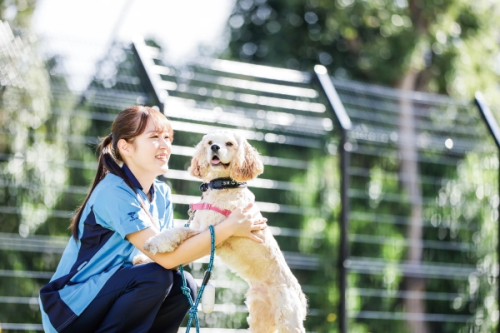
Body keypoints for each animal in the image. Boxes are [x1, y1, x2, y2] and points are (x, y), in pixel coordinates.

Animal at [140, 130, 308, 332]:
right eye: (210, 142)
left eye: (229, 143)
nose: (214, 147)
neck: (223, 186)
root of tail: (300, 296)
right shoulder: (200, 229)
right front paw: (143, 258)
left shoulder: (208, 231)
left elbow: (177, 231)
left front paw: (155, 243)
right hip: (260, 317)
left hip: (287, 318)